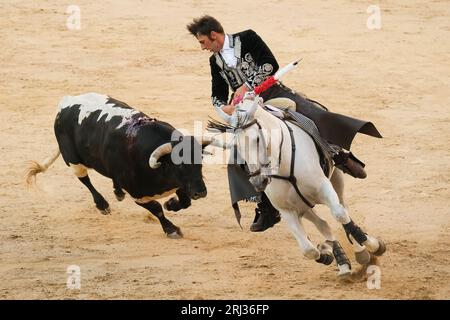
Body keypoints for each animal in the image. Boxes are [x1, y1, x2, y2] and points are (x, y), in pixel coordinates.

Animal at [24, 92, 207, 238]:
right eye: (180, 166)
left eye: (200, 163)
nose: (201, 192)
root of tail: (66, 102)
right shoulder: (138, 194)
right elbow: (156, 209)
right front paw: (172, 229)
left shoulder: (180, 184)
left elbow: (185, 202)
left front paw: (170, 204)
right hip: (72, 159)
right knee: (85, 180)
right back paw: (103, 205)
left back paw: (118, 192)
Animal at [207, 92, 386, 278]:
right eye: (236, 144)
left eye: (257, 139)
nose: (258, 182)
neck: (284, 164)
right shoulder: (287, 210)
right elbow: (308, 249)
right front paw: (325, 253)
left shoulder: (324, 188)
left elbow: (340, 215)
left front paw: (374, 245)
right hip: (303, 205)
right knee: (323, 224)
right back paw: (341, 261)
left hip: (336, 178)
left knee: (343, 210)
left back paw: (361, 252)